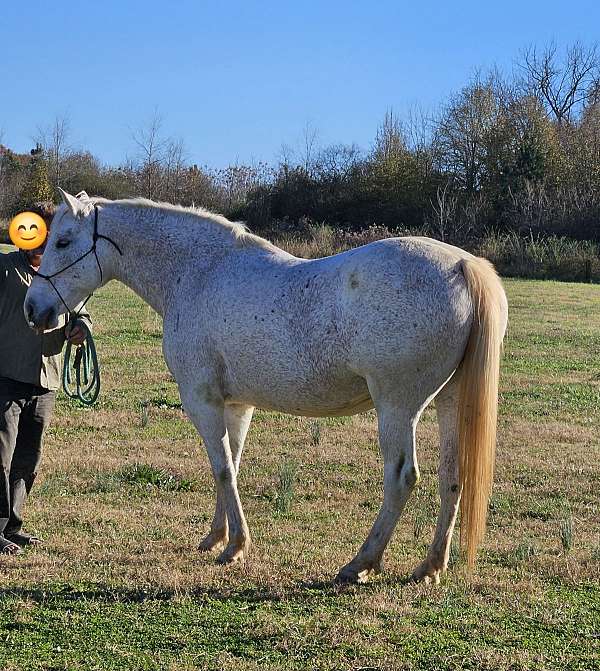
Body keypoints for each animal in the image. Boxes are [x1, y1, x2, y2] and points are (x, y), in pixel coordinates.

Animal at [24, 189, 508, 584]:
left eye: (62, 241)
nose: (34, 309)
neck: (198, 273)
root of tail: (462, 265)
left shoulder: (201, 400)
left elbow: (221, 467)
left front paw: (235, 547)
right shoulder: (236, 405)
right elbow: (230, 466)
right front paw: (216, 538)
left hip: (397, 407)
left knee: (402, 477)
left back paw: (360, 564)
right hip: (449, 402)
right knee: (452, 477)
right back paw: (430, 566)